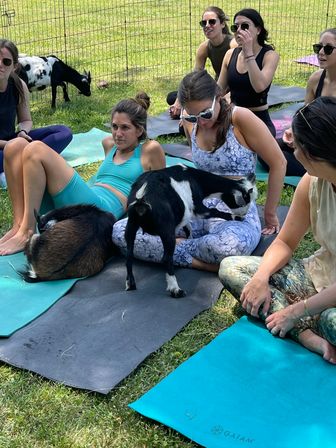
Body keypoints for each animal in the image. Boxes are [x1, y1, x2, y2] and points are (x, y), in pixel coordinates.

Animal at [124, 164, 256, 298]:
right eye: (245, 200)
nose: (244, 213)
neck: (194, 178)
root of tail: (141, 200)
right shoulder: (198, 207)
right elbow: (214, 211)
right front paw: (237, 218)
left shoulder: (185, 212)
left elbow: (188, 227)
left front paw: (190, 240)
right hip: (167, 229)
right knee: (166, 258)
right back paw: (176, 290)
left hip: (131, 225)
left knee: (129, 255)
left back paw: (130, 284)